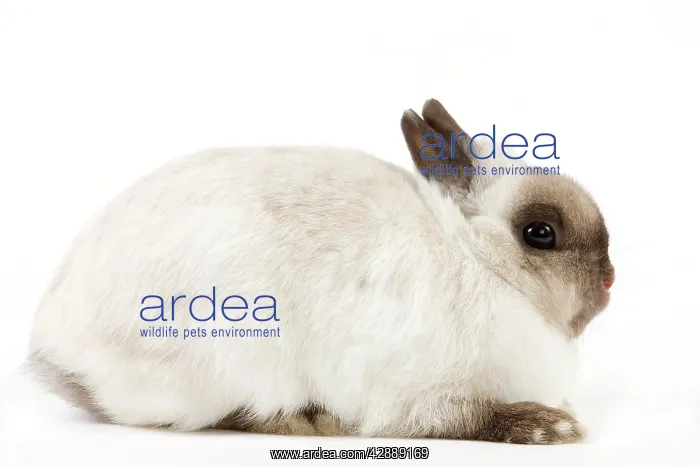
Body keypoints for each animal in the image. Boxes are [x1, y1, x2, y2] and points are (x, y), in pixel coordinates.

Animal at [27, 98, 614, 444]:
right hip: (231, 358)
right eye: (540, 233)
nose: (609, 281)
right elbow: (469, 420)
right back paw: (310, 420)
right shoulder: (417, 399)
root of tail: (55, 349)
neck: (483, 262)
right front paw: (552, 426)